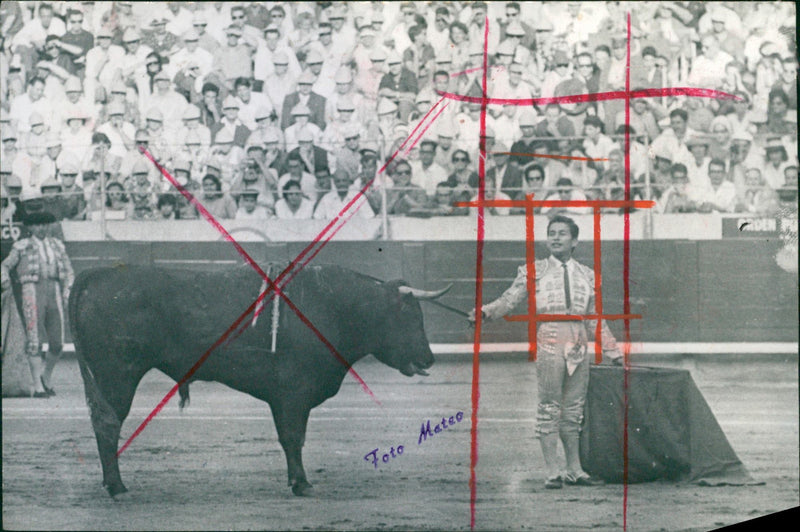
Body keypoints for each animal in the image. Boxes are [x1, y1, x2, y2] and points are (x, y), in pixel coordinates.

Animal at [69, 264, 450, 496]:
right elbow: (294, 438)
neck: (336, 307)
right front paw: (302, 483)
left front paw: (296, 481)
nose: (429, 357)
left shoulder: (285, 397)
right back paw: (117, 486)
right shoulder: (294, 393)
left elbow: (289, 438)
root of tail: (97, 274)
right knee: (107, 424)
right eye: (409, 316)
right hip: (117, 375)